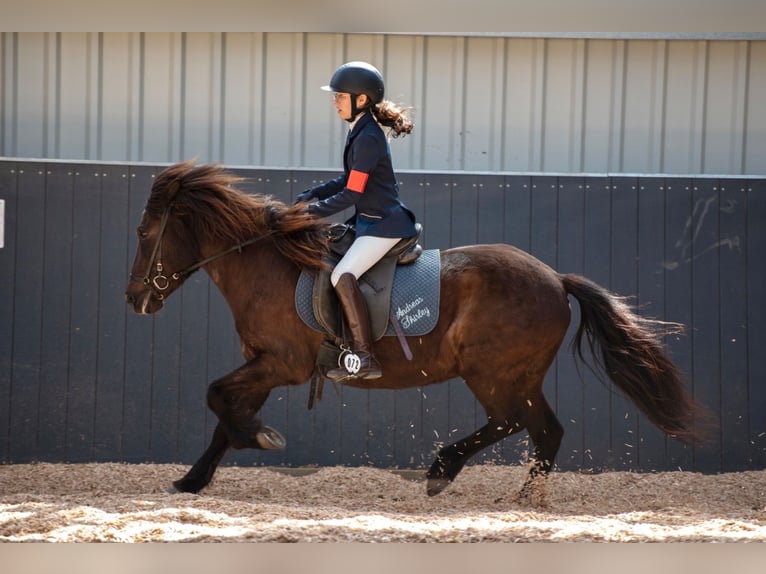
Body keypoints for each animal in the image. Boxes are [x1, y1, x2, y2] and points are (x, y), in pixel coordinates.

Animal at [124, 161, 708, 504]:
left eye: (145, 232)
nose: (134, 299)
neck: (270, 266)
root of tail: (554, 278)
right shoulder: (265, 365)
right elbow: (225, 414)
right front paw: (194, 478)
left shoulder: (281, 364)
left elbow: (217, 398)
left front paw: (258, 437)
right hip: (516, 375)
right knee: (541, 428)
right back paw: (515, 495)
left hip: (493, 372)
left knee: (517, 423)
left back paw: (450, 472)